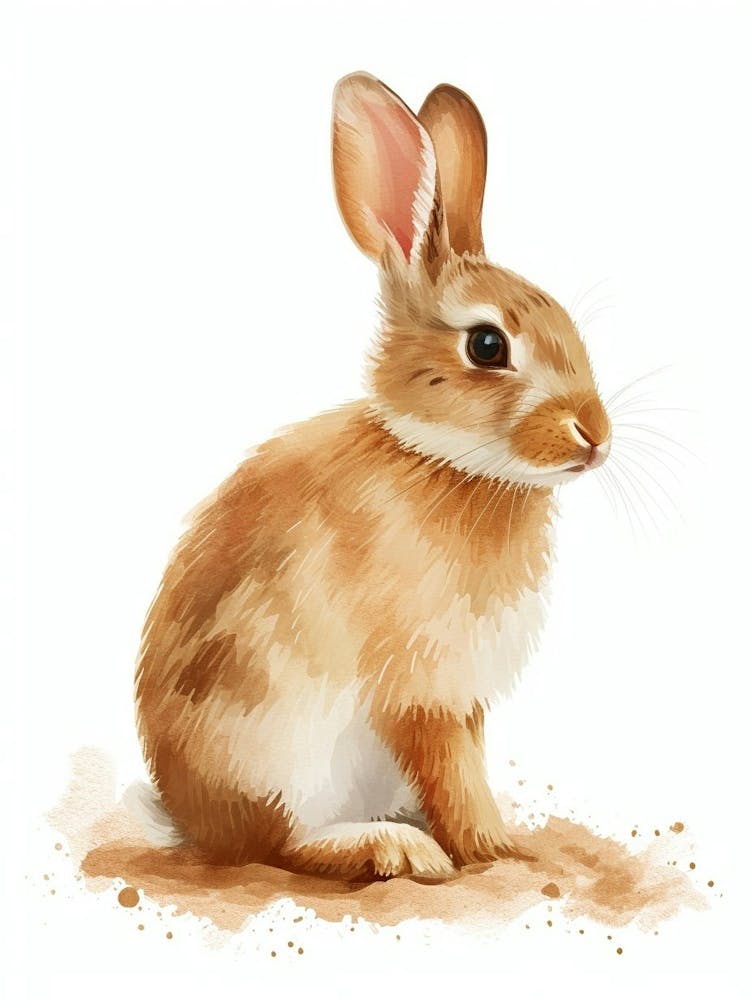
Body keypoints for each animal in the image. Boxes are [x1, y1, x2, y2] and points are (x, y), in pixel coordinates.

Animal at [135, 71, 612, 881]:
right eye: (488, 345)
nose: (596, 437)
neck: (445, 461)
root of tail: (190, 819)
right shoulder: (425, 692)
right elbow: (454, 774)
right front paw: (496, 851)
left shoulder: (461, 698)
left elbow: (463, 769)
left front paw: (501, 845)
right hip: (278, 750)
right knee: (280, 845)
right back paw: (393, 848)